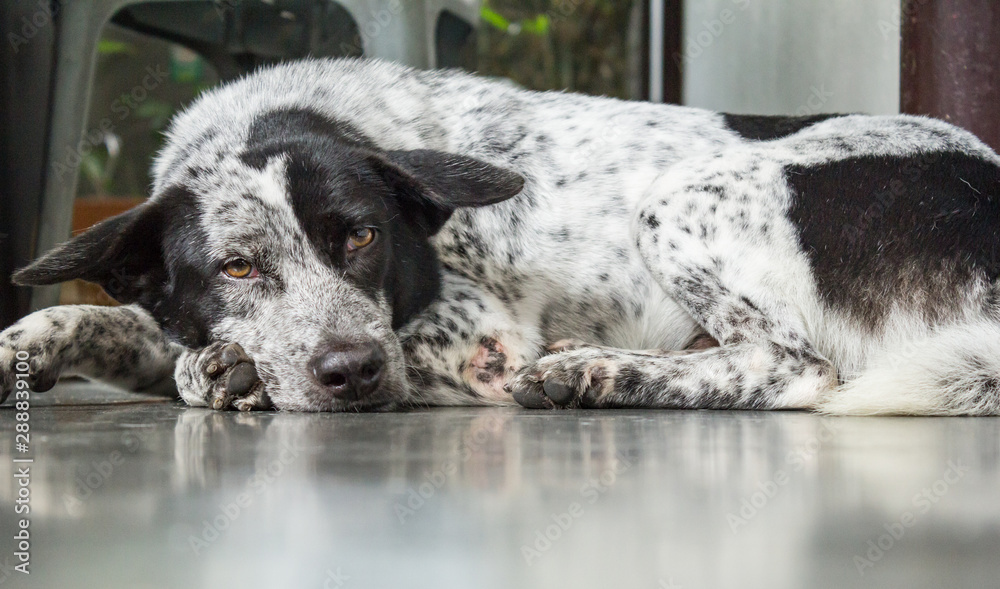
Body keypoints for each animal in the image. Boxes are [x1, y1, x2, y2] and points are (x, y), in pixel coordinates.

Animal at [1, 56, 1000, 414]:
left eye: (362, 236)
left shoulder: (474, 339)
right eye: (236, 265)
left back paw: (599, 373)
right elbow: (136, 324)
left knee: (794, 367)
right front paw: (35, 341)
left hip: (682, 195)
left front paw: (226, 371)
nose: (350, 372)